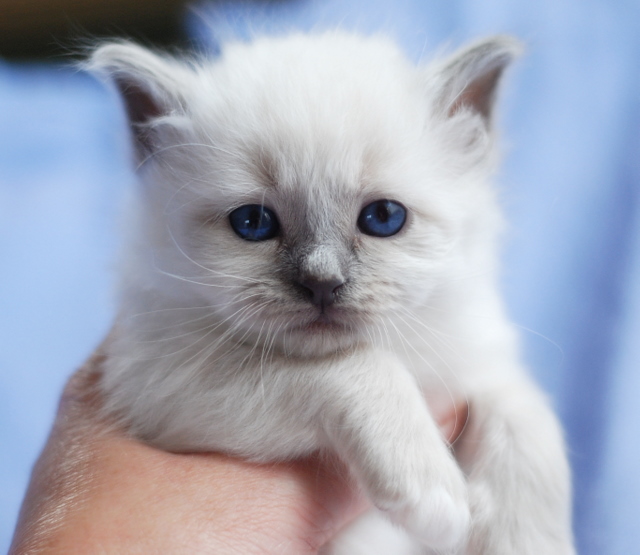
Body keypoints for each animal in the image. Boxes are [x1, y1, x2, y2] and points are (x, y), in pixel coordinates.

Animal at [89, 32, 576, 552]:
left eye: (383, 217)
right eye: (253, 223)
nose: (322, 282)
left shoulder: (476, 363)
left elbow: (526, 419)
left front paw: (524, 541)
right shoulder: (162, 382)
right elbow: (356, 366)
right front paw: (435, 497)